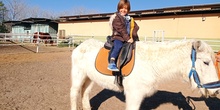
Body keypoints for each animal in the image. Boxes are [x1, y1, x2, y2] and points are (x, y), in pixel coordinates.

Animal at [70, 38, 218, 109]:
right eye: (206, 62)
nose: (216, 90)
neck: (150, 63)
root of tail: (81, 45)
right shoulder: (134, 95)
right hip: (78, 76)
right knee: (74, 93)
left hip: (89, 78)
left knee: (85, 93)